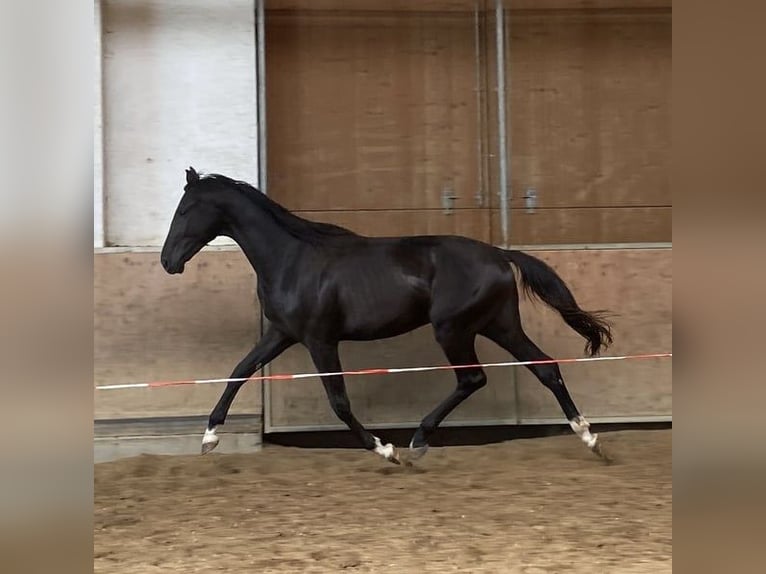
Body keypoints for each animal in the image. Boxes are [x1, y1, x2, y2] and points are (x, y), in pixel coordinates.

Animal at [160, 167, 613, 464]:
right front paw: (209, 437)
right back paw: (589, 437)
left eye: (184, 210)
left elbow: (339, 401)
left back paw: (417, 440)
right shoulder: (282, 333)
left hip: (454, 330)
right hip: (498, 324)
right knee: (546, 367)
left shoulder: (320, 340)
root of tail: (500, 255)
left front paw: (384, 449)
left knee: (473, 378)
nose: (167, 261)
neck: (292, 259)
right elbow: (239, 371)